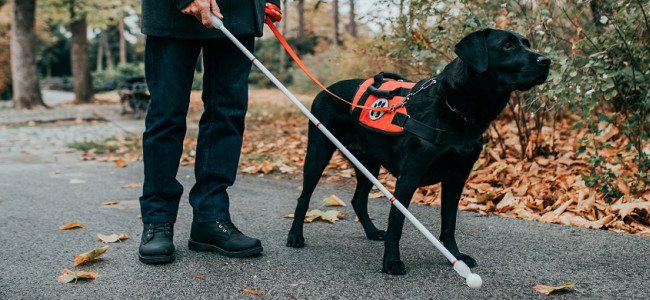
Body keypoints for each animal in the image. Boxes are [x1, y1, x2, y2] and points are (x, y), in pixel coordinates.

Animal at [286, 28, 548, 274]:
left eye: (526, 43)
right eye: (507, 45)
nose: (546, 61)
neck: (454, 109)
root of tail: (324, 90)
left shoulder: (457, 178)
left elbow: (449, 223)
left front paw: (455, 257)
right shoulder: (407, 179)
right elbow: (397, 224)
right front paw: (391, 261)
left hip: (368, 164)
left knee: (358, 200)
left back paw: (371, 232)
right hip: (319, 153)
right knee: (303, 198)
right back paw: (295, 236)